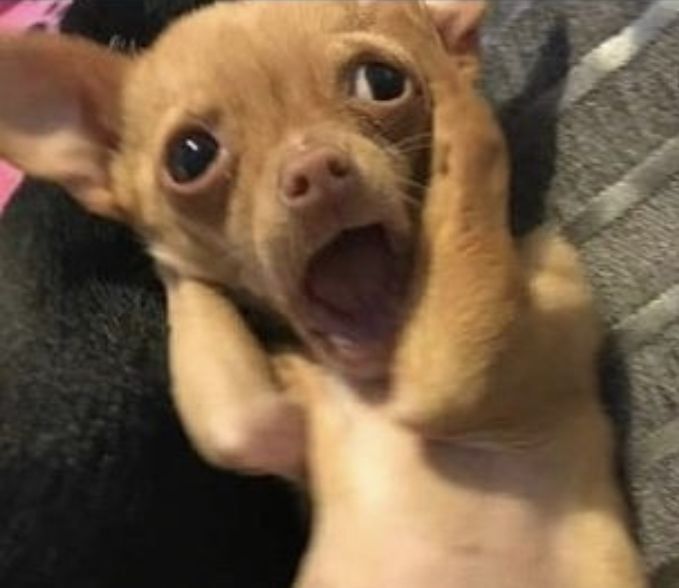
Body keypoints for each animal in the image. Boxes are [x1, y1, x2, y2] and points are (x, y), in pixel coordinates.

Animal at [0, 1, 648, 588]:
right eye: (189, 157)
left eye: (382, 82)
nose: (313, 169)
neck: (378, 385)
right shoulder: (264, 425)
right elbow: (238, 419)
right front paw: (166, 248)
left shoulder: (469, 365)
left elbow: (469, 168)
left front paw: (450, 81)